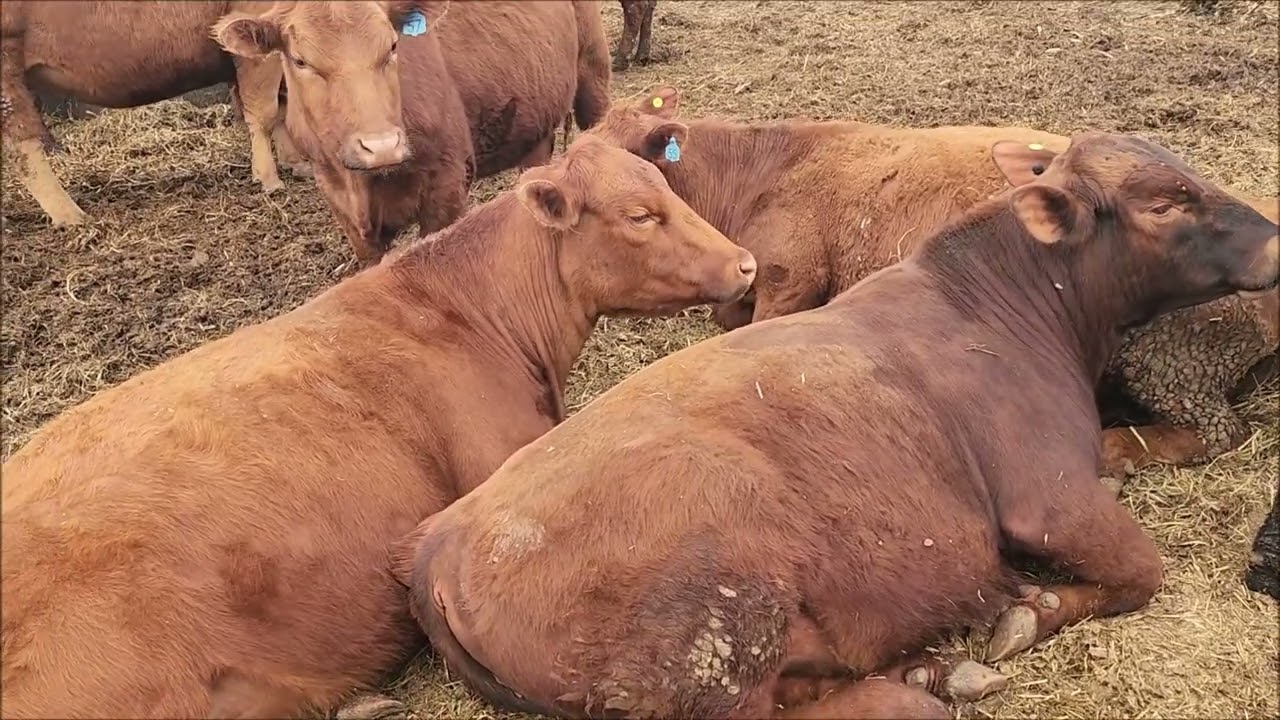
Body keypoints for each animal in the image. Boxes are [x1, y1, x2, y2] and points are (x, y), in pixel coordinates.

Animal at [0, 1, 306, 227]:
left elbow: (282, 104)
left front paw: (296, 164)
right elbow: (264, 113)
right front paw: (270, 181)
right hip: (7, 65)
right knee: (22, 145)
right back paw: (71, 215)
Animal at [215, 0, 613, 266]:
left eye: (393, 46)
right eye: (300, 60)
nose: (381, 146)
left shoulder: (448, 184)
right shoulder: (335, 193)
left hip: (592, 74)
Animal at [391, 132, 1279, 719]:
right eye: (1164, 203)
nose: (1275, 240)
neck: (1005, 307)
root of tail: (443, 539)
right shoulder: (1051, 496)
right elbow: (1141, 569)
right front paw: (1027, 612)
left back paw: (923, 674)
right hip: (718, 645)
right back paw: (921, 688)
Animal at [589, 85, 1280, 487]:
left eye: (633, 168)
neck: (757, 176)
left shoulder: (793, 284)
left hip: (1171, 358)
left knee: (1216, 432)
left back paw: (1113, 450)